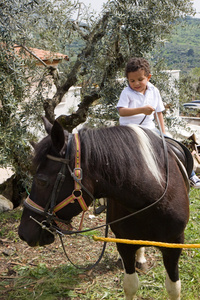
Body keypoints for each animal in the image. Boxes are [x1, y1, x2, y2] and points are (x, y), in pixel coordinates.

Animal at [18, 118, 189, 300]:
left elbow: (173, 288)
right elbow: (130, 285)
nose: (23, 232)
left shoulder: (174, 245)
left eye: (41, 180)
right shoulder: (125, 243)